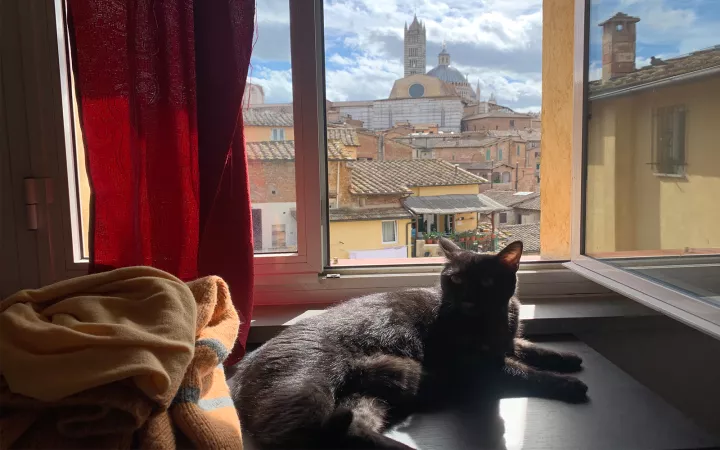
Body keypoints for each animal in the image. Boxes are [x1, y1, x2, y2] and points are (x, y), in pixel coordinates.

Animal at [228, 237, 588, 448]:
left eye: (486, 281)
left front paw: (568, 358)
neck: (495, 317)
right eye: (455, 278)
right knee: (295, 436)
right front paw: (569, 384)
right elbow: (525, 373)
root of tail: (240, 370)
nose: (467, 298)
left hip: (373, 394)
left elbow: (531, 348)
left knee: (356, 428)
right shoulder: (481, 366)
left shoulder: (507, 345)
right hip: (307, 388)